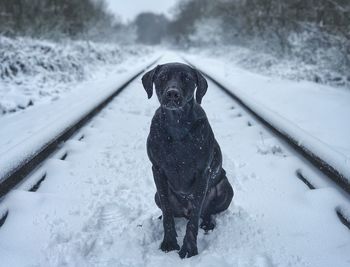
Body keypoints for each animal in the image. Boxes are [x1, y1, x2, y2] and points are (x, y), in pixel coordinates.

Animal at [141, 62, 234, 260]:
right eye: (162, 77)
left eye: (186, 78)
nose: (172, 93)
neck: (177, 124)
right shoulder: (157, 170)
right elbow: (167, 210)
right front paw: (169, 242)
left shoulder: (202, 173)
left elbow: (195, 218)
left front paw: (189, 249)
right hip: (156, 195)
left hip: (226, 188)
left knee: (206, 212)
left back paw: (208, 223)